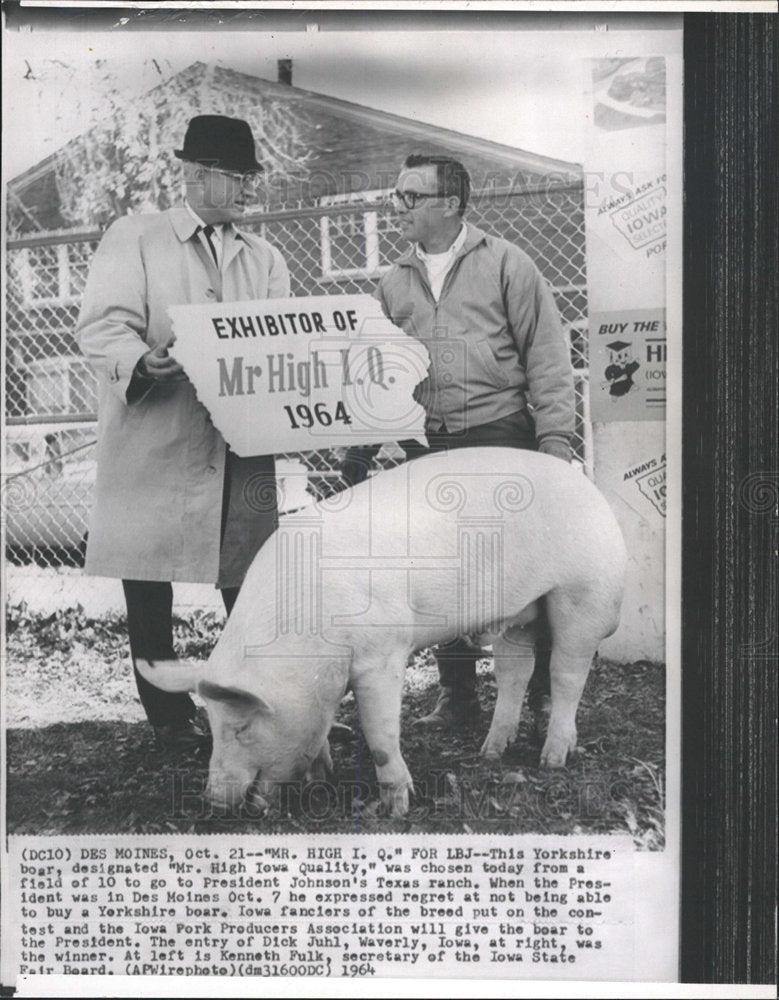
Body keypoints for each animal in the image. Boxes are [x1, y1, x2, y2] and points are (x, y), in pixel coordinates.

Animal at [139, 450, 628, 816]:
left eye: (241, 726)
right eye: (211, 725)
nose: (213, 802)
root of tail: (591, 490)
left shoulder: (382, 653)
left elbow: (379, 735)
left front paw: (396, 807)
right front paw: (322, 776)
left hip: (582, 595)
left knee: (567, 673)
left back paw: (552, 759)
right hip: (522, 611)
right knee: (515, 671)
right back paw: (491, 752)